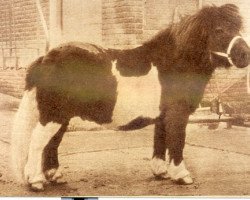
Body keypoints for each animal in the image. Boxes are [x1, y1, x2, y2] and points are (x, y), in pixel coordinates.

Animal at [10, 3, 250, 191]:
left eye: (238, 28)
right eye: (219, 29)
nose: (245, 55)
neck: (174, 63)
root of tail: (45, 58)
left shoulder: (163, 117)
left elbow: (160, 142)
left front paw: (160, 172)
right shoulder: (177, 114)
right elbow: (177, 143)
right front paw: (182, 175)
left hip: (62, 117)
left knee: (52, 143)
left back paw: (55, 176)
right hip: (53, 115)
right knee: (37, 142)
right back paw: (36, 181)